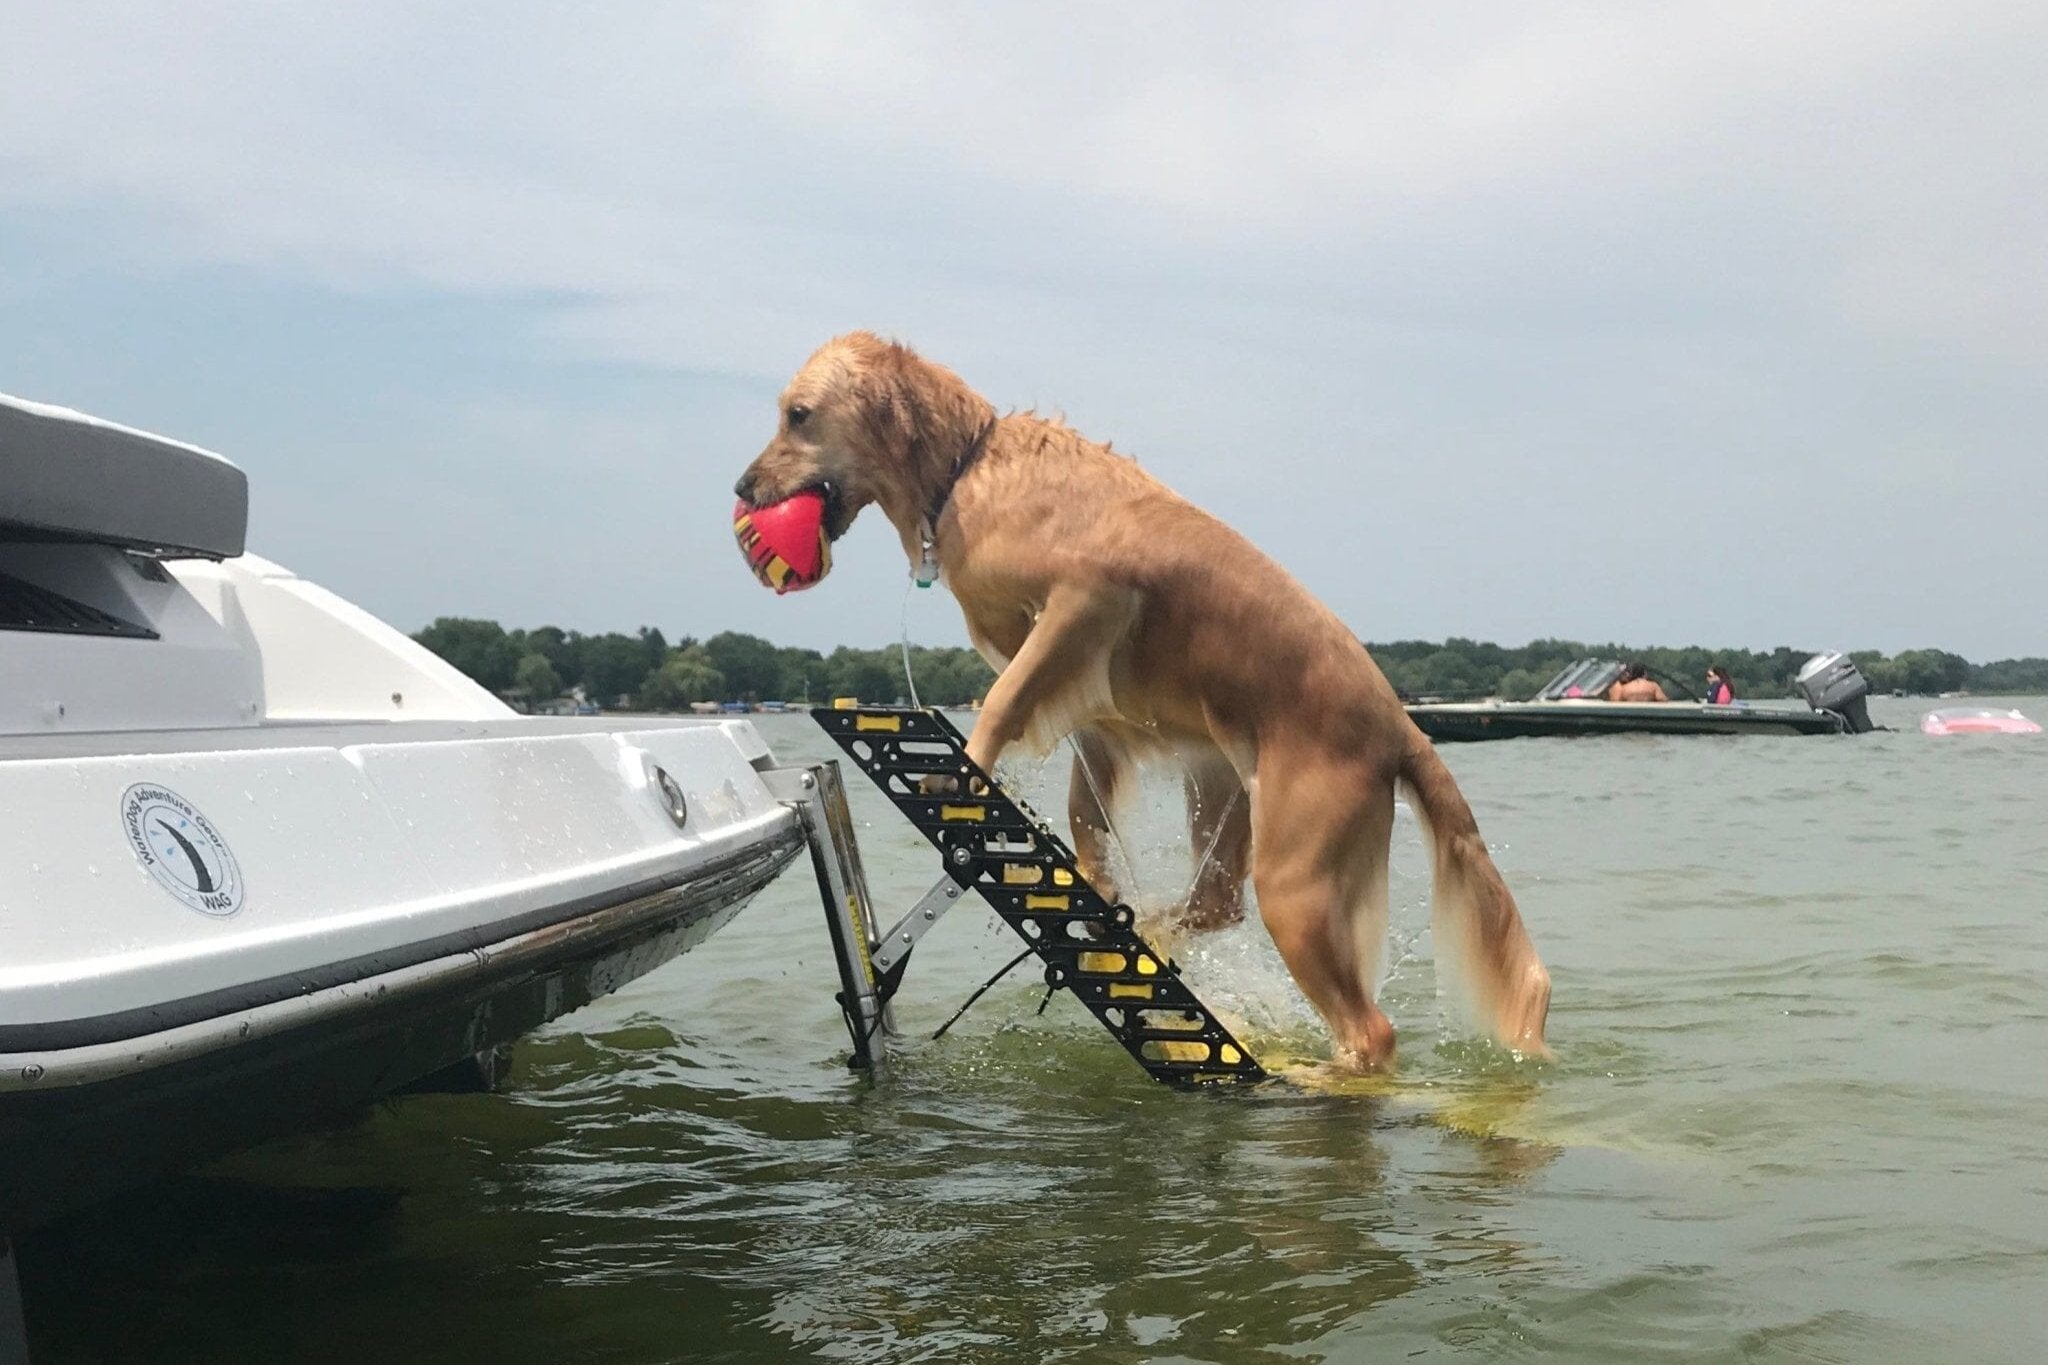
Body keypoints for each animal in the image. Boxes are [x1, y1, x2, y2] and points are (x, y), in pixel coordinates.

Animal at [737, 331, 1548, 1064]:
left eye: (798, 415)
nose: (742, 488)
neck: (968, 470)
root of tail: (1402, 728)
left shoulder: (1085, 602)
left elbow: (1002, 699)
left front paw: (964, 769)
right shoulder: (1093, 708)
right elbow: (1084, 813)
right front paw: (1097, 897)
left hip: (1297, 874)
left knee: (1368, 1030)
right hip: (1226, 785)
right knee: (1217, 906)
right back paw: (1152, 927)